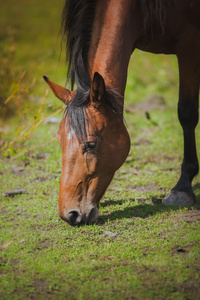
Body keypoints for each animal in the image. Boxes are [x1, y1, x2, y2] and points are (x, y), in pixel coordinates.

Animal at [43, 0, 199, 225]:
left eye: (91, 144)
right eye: (59, 140)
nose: (69, 215)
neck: (143, 10)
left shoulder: (189, 46)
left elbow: (187, 113)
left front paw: (183, 188)